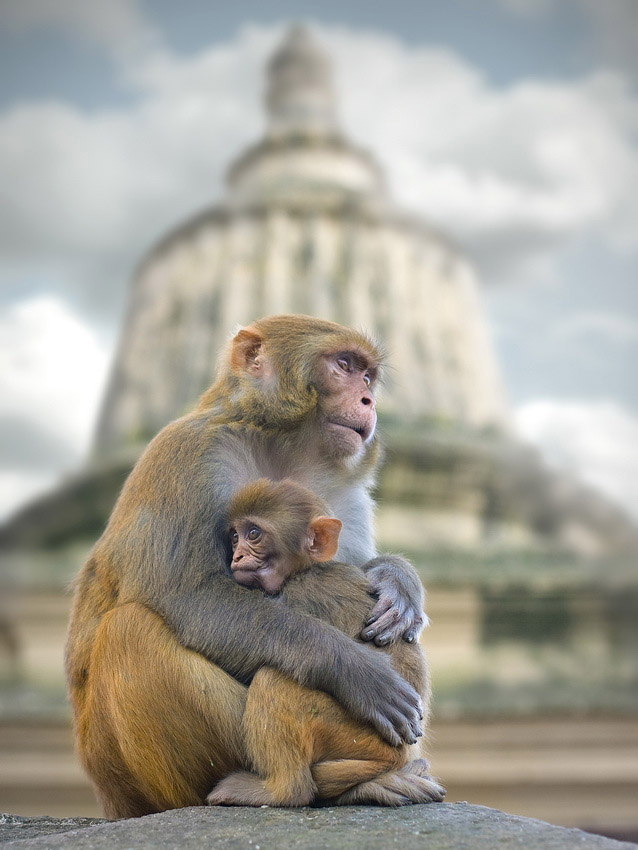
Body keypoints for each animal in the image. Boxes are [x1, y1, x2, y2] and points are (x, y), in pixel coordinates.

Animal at [208, 480, 448, 804]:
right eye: (234, 536)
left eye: (253, 534)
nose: (237, 556)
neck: (306, 569)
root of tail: (399, 756)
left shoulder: (302, 592)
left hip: (354, 734)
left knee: (272, 681)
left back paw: (280, 791)